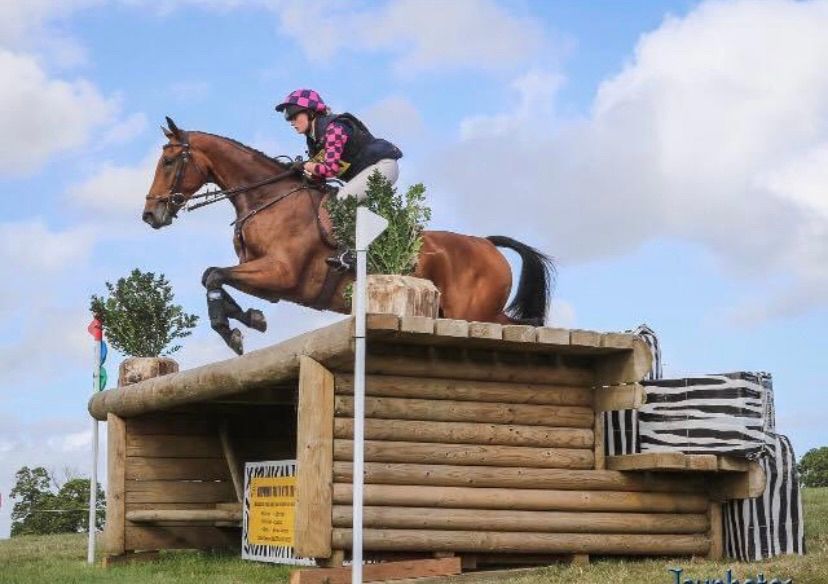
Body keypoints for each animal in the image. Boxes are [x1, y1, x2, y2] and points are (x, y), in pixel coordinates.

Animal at [142, 117, 556, 356]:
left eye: (168, 161)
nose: (150, 215)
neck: (267, 198)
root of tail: (487, 244)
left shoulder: (281, 273)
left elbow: (214, 274)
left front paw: (234, 332)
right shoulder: (267, 279)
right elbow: (213, 277)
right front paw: (248, 320)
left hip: (470, 312)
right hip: (473, 313)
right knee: (518, 325)